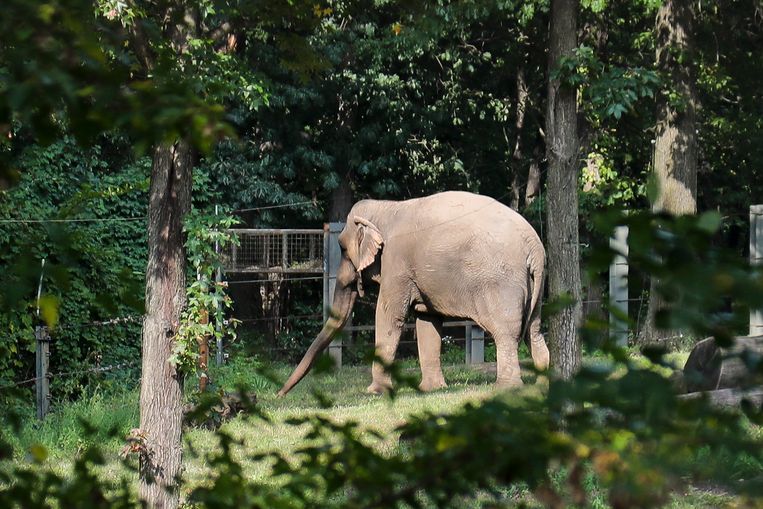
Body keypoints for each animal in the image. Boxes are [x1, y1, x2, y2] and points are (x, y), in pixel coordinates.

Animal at [278, 189, 552, 394]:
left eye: (343, 249)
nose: (280, 394)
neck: (386, 207)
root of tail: (535, 246)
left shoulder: (396, 264)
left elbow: (388, 316)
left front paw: (374, 392)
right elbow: (427, 321)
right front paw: (432, 389)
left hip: (501, 283)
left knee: (506, 332)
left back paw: (507, 388)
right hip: (533, 285)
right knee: (534, 329)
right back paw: (543, 384)